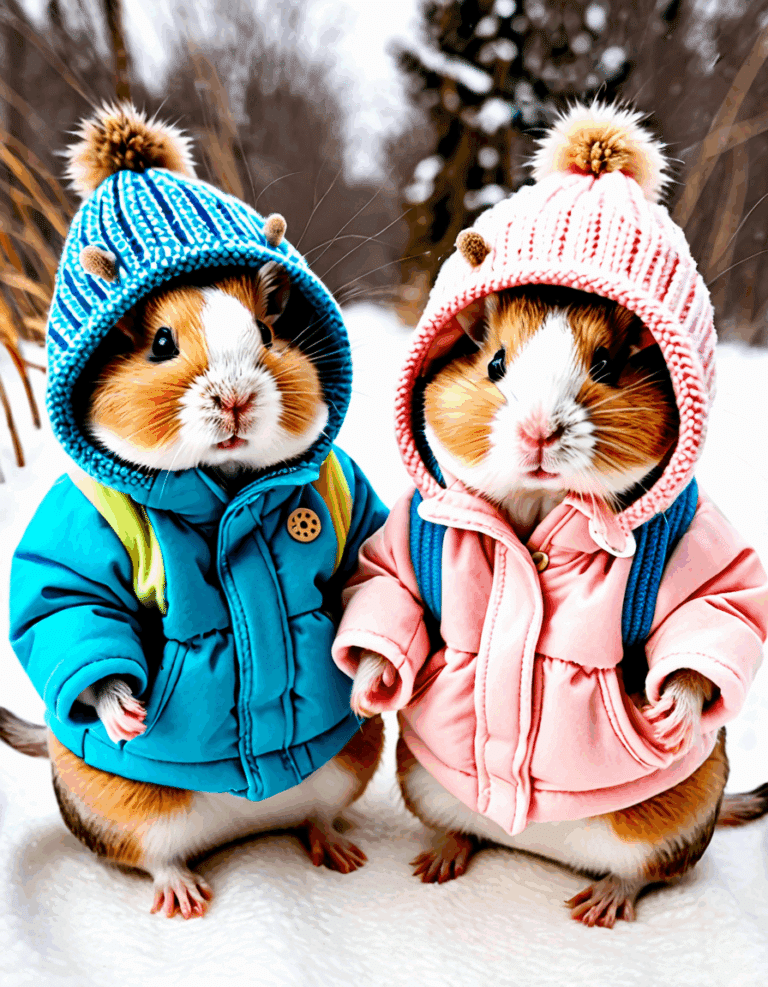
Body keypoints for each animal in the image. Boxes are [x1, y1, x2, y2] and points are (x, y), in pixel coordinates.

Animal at [348, 286, 768, 926]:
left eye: (607, 366)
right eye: (495, 363)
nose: (538, 432)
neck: (539, 502)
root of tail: (532, 844)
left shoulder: (709, 559)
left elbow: (709, 617)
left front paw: (671, 718)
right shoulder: (399, 547)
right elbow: (389, 596)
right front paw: (366, 697)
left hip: (675, 826)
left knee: (643, 876)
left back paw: (596, 908)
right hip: (423, 784)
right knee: (461, 832)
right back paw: (436, 865)